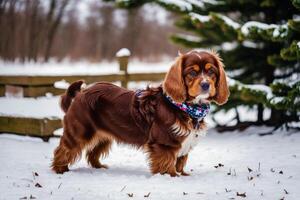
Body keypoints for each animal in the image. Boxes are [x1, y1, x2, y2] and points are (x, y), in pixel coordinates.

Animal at [51, 50, 230, 177]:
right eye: (192, 72)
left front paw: (183, 175)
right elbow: (167, 164)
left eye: (211, 72)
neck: (186, 108)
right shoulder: (165, 144)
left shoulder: (184, 144)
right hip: (79, 132)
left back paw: (99, 167)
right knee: (63, 149)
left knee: (92, 152)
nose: (206, 85)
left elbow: (180, 162)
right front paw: (171, 177)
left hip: (103, 136)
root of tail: (80, 93)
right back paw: (60, 169)